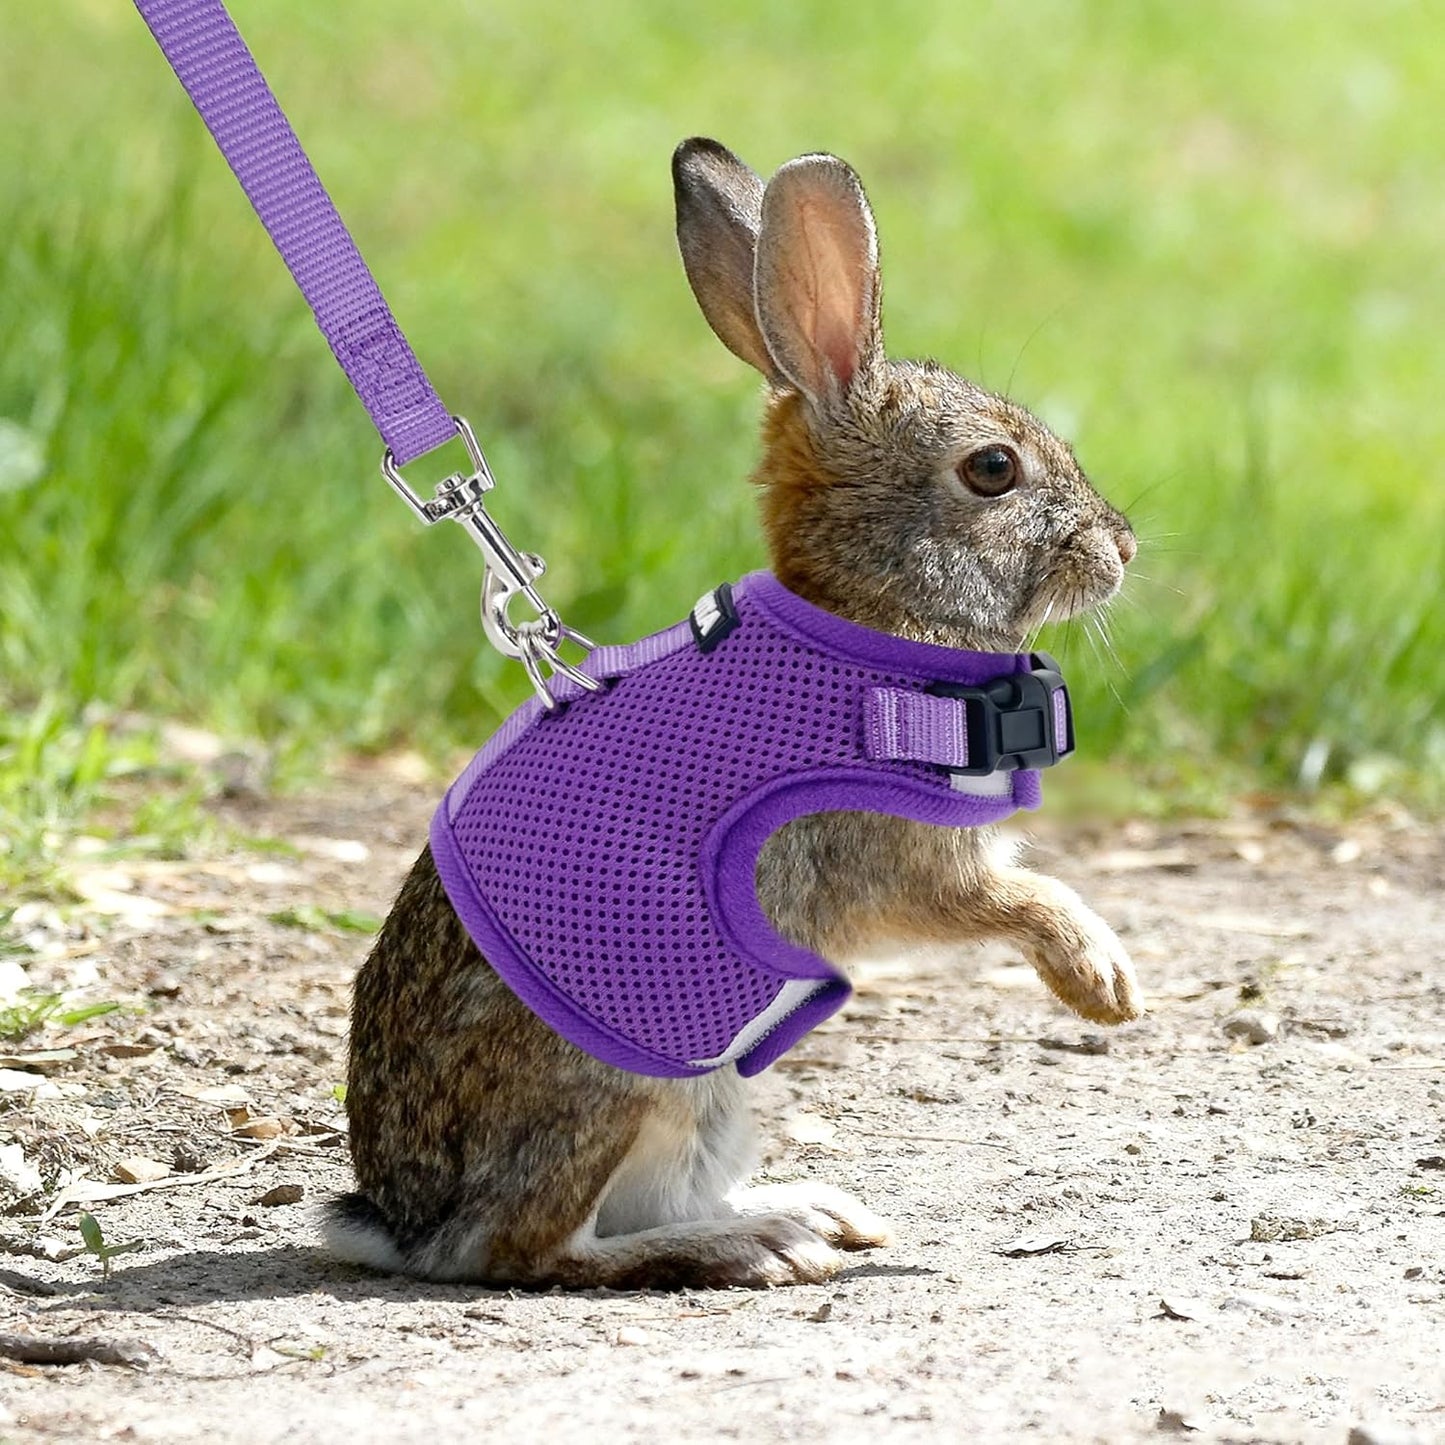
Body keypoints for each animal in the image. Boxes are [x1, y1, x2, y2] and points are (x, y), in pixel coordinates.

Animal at [327, 136, 1141, 1289]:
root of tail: (402, 1219)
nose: (1122, 548)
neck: (870, 618)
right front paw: (1101, 982)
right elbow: (1018, 899)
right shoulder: (895, 860)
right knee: (534, 1247)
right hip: (629, 1072)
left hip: (711, 1093)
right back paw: (753, 1242)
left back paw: (805, 1210)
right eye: (993, 468)